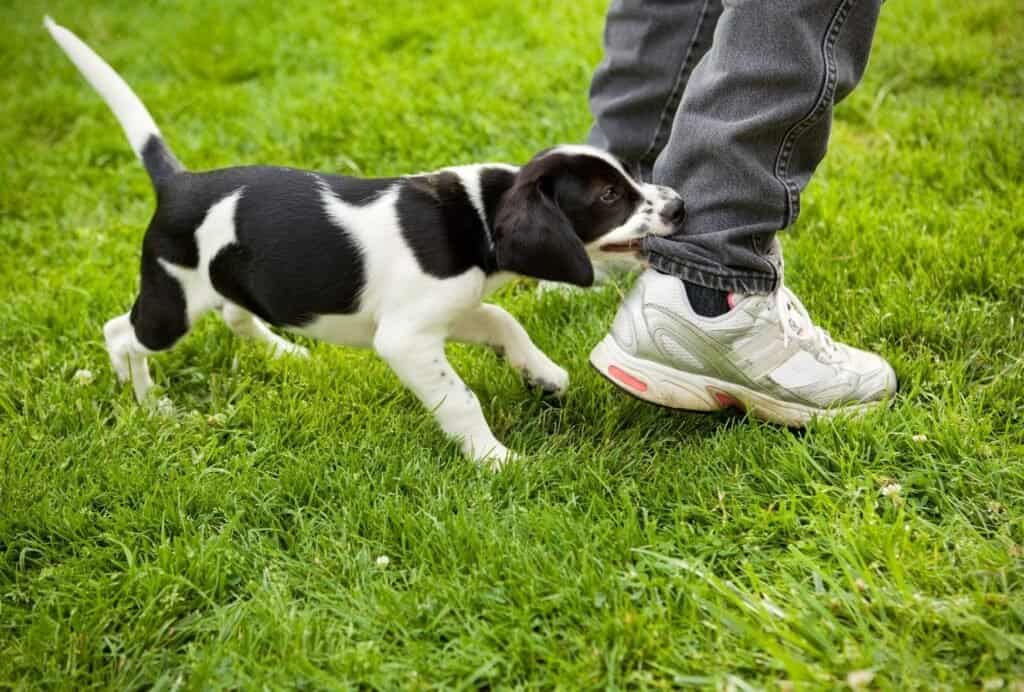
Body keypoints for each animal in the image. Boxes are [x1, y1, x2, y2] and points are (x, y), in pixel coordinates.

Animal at [49, 16, 688, 466]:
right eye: (610, 197)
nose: (679, 205)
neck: (478, 216)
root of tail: (179, 183)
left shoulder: (446, 311)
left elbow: (505, 322)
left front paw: (543, 376)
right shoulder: (405, 338)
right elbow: (460, 398)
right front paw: (495, 459)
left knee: (235, 313)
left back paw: (283, 352)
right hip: (172, 302)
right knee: (121, 334)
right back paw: (151, 405)